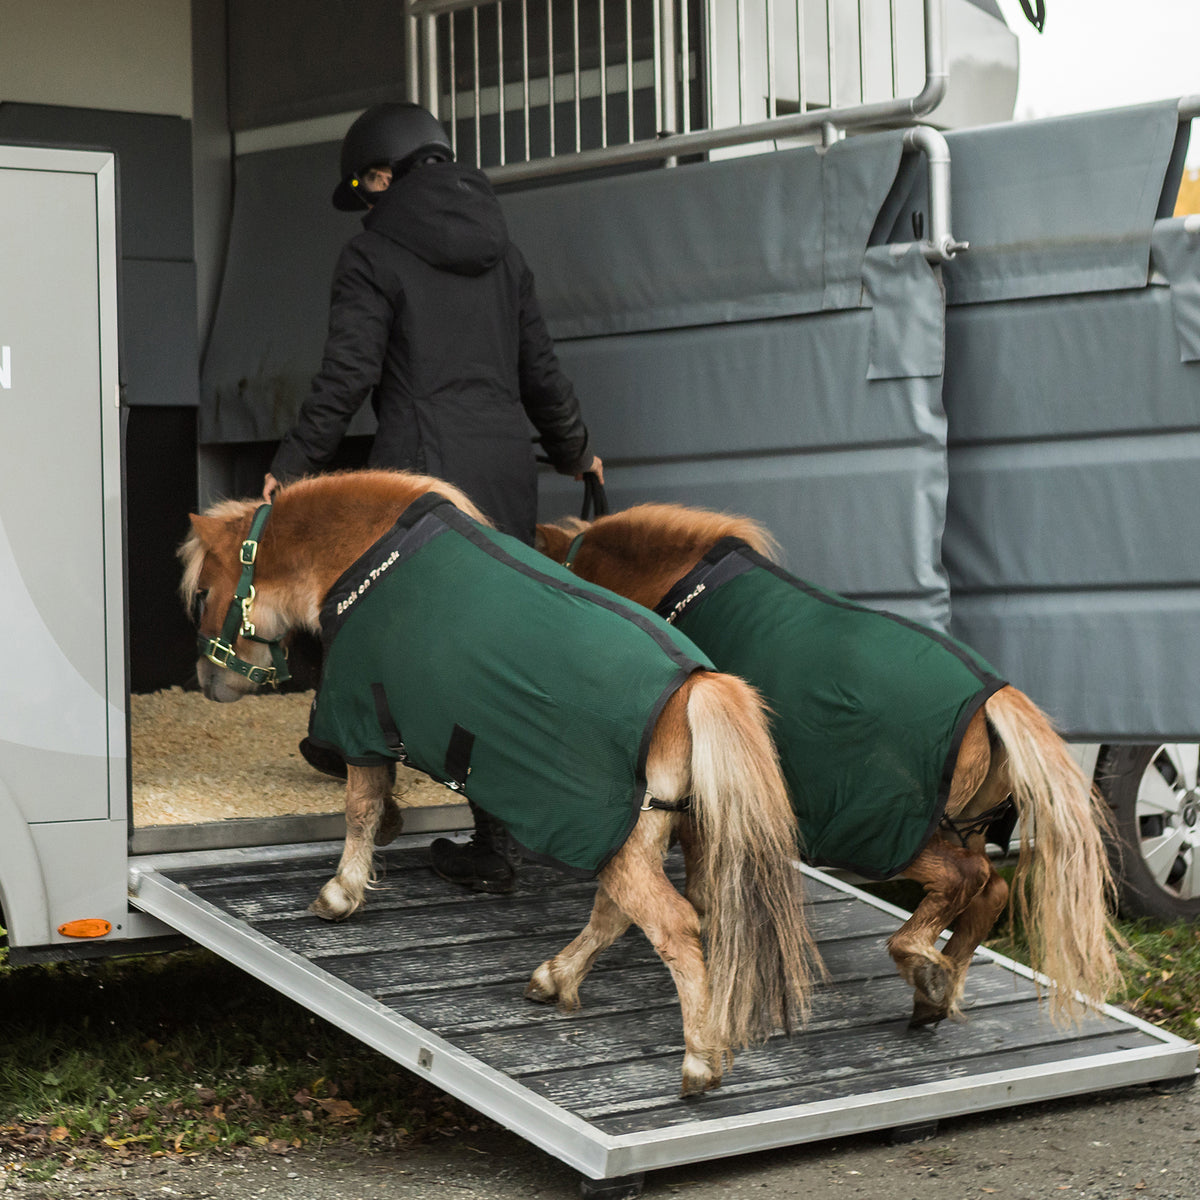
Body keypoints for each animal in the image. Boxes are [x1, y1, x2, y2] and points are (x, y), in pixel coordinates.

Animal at [178, 469, 823, 1096]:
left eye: (203, 594)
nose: (207, 679)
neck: (369, 553)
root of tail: (697, 685)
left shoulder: (359, 718)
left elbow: (359, 807)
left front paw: (341, 892)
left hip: (616, 839)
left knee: (674, 924)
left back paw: (698, 1061)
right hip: (638, 837)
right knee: (617, 914)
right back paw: (555, 977)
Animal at [536, 502, 1122, 1027]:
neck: (688, 584)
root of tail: (993, 699)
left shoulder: (698, 809)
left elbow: (670, 896)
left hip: (891, 837)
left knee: (967, 879)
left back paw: (919, 961)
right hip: (958, 830)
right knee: (990, 891)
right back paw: (936, 991)